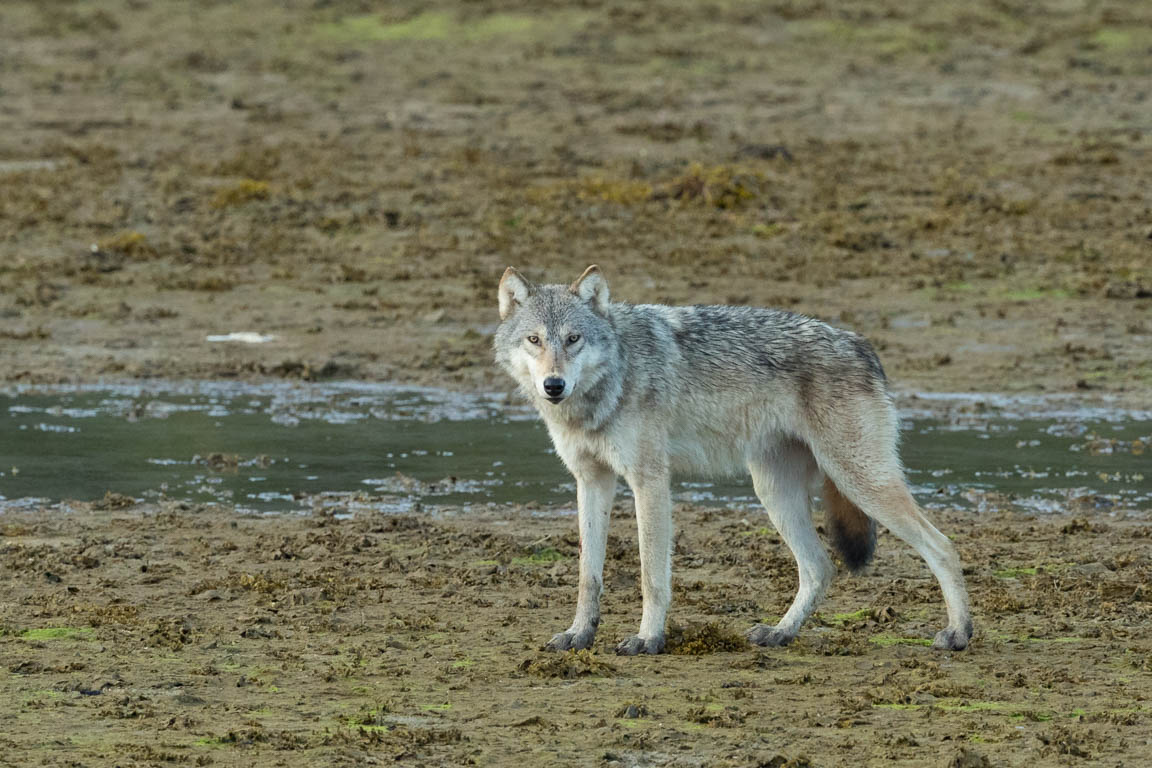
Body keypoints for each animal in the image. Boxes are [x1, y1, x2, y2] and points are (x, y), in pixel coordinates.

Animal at [493, 264, 972, 654]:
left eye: (573, 339)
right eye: (534, 340)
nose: (554, 385)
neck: (613, 378)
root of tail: (862, 345)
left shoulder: (650, 482)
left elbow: (652, 575)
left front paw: (649, 639)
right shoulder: (591, 481)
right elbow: (587, 575)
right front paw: (579, 635)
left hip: (859, 481)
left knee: (944, 547)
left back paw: (958, 634)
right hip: (775, 492)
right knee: (819, 568)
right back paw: (780, 633)